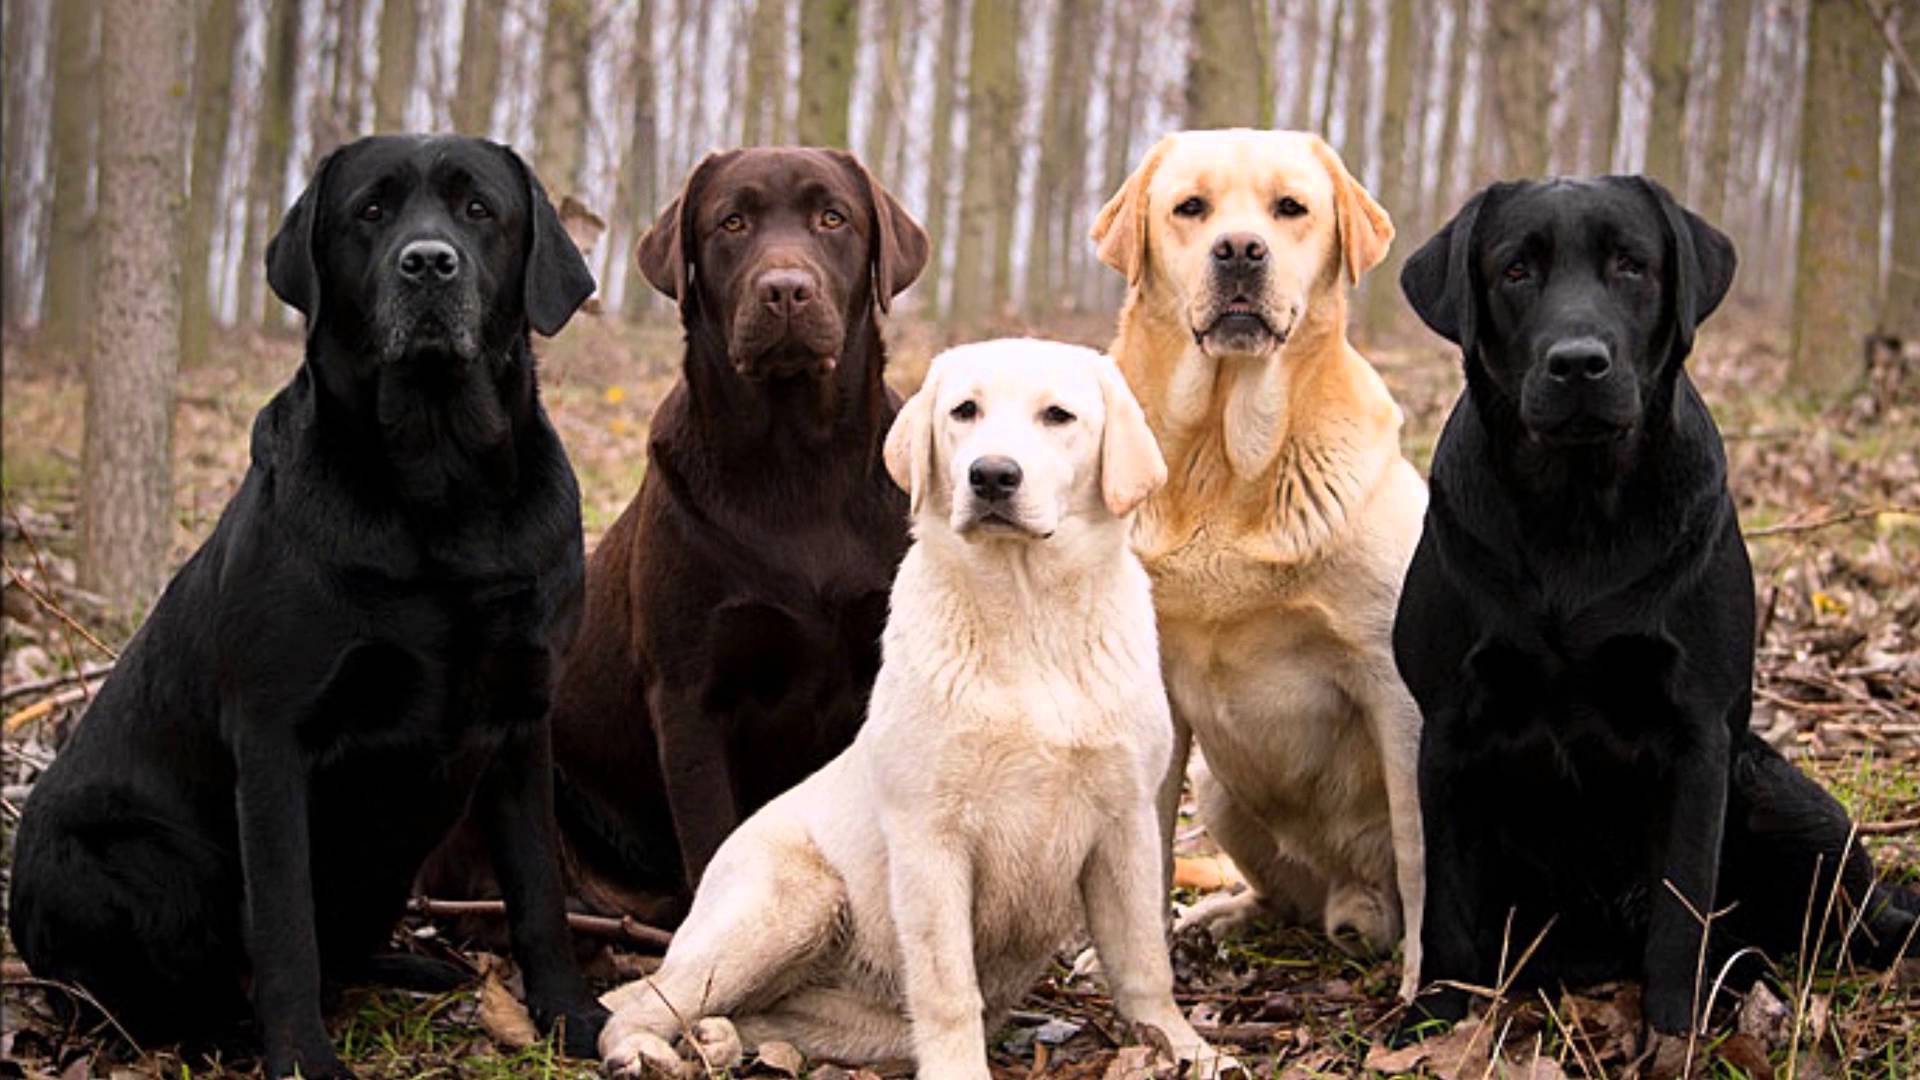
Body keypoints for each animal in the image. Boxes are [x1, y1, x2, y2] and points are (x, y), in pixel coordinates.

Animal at [9, 132, 606, 1068]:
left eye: (480, 211)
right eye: (371, 210)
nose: (427, 264)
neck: (439, 481)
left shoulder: (522, 713)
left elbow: (540, 890)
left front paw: (572, 1017)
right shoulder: (273, 735)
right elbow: (285, 922)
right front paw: (301, 1059)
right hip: (127, 863)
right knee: (151, 990)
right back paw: (222, 1031)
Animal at [533, 145, 921, 914]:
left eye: (833, 218)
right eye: (732, 223)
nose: (786, 290)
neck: (797, 467)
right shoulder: (690, 697)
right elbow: (711, 839)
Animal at [591, 340, 1236, 1076]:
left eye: (1058, 416)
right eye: (964, 411)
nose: (991, 476)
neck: (1027, 617)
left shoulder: (1126, 823)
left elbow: (1144, 962)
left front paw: (1184, 1047)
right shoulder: (932, 839)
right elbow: (948, 985)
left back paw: (718, 1038)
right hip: (797, 899)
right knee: (637, 1001)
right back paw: (644, 1052)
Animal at [1098, 127, 1428, 991]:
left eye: (1290, 208)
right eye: (1190, 208)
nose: (1241, 250)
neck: (1222, 456)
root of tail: (1354, 895)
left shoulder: (1396, 686)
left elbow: (1420, 848)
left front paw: (1428, 984)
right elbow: (1144, 846)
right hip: (1218, 790)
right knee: (1286, 898)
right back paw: (1227, 916)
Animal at [1397, 174, 1920, 1037]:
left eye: (1631, 266)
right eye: (1515, 271)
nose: (1579, 363)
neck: (1575, 510)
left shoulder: (1697, 735)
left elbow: (1681, 910)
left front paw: (1674, 1035)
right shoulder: (1449, 733)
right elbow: (1446, 907)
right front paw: (1433, 1022)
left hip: (1785, 800)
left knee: (1854, 926)